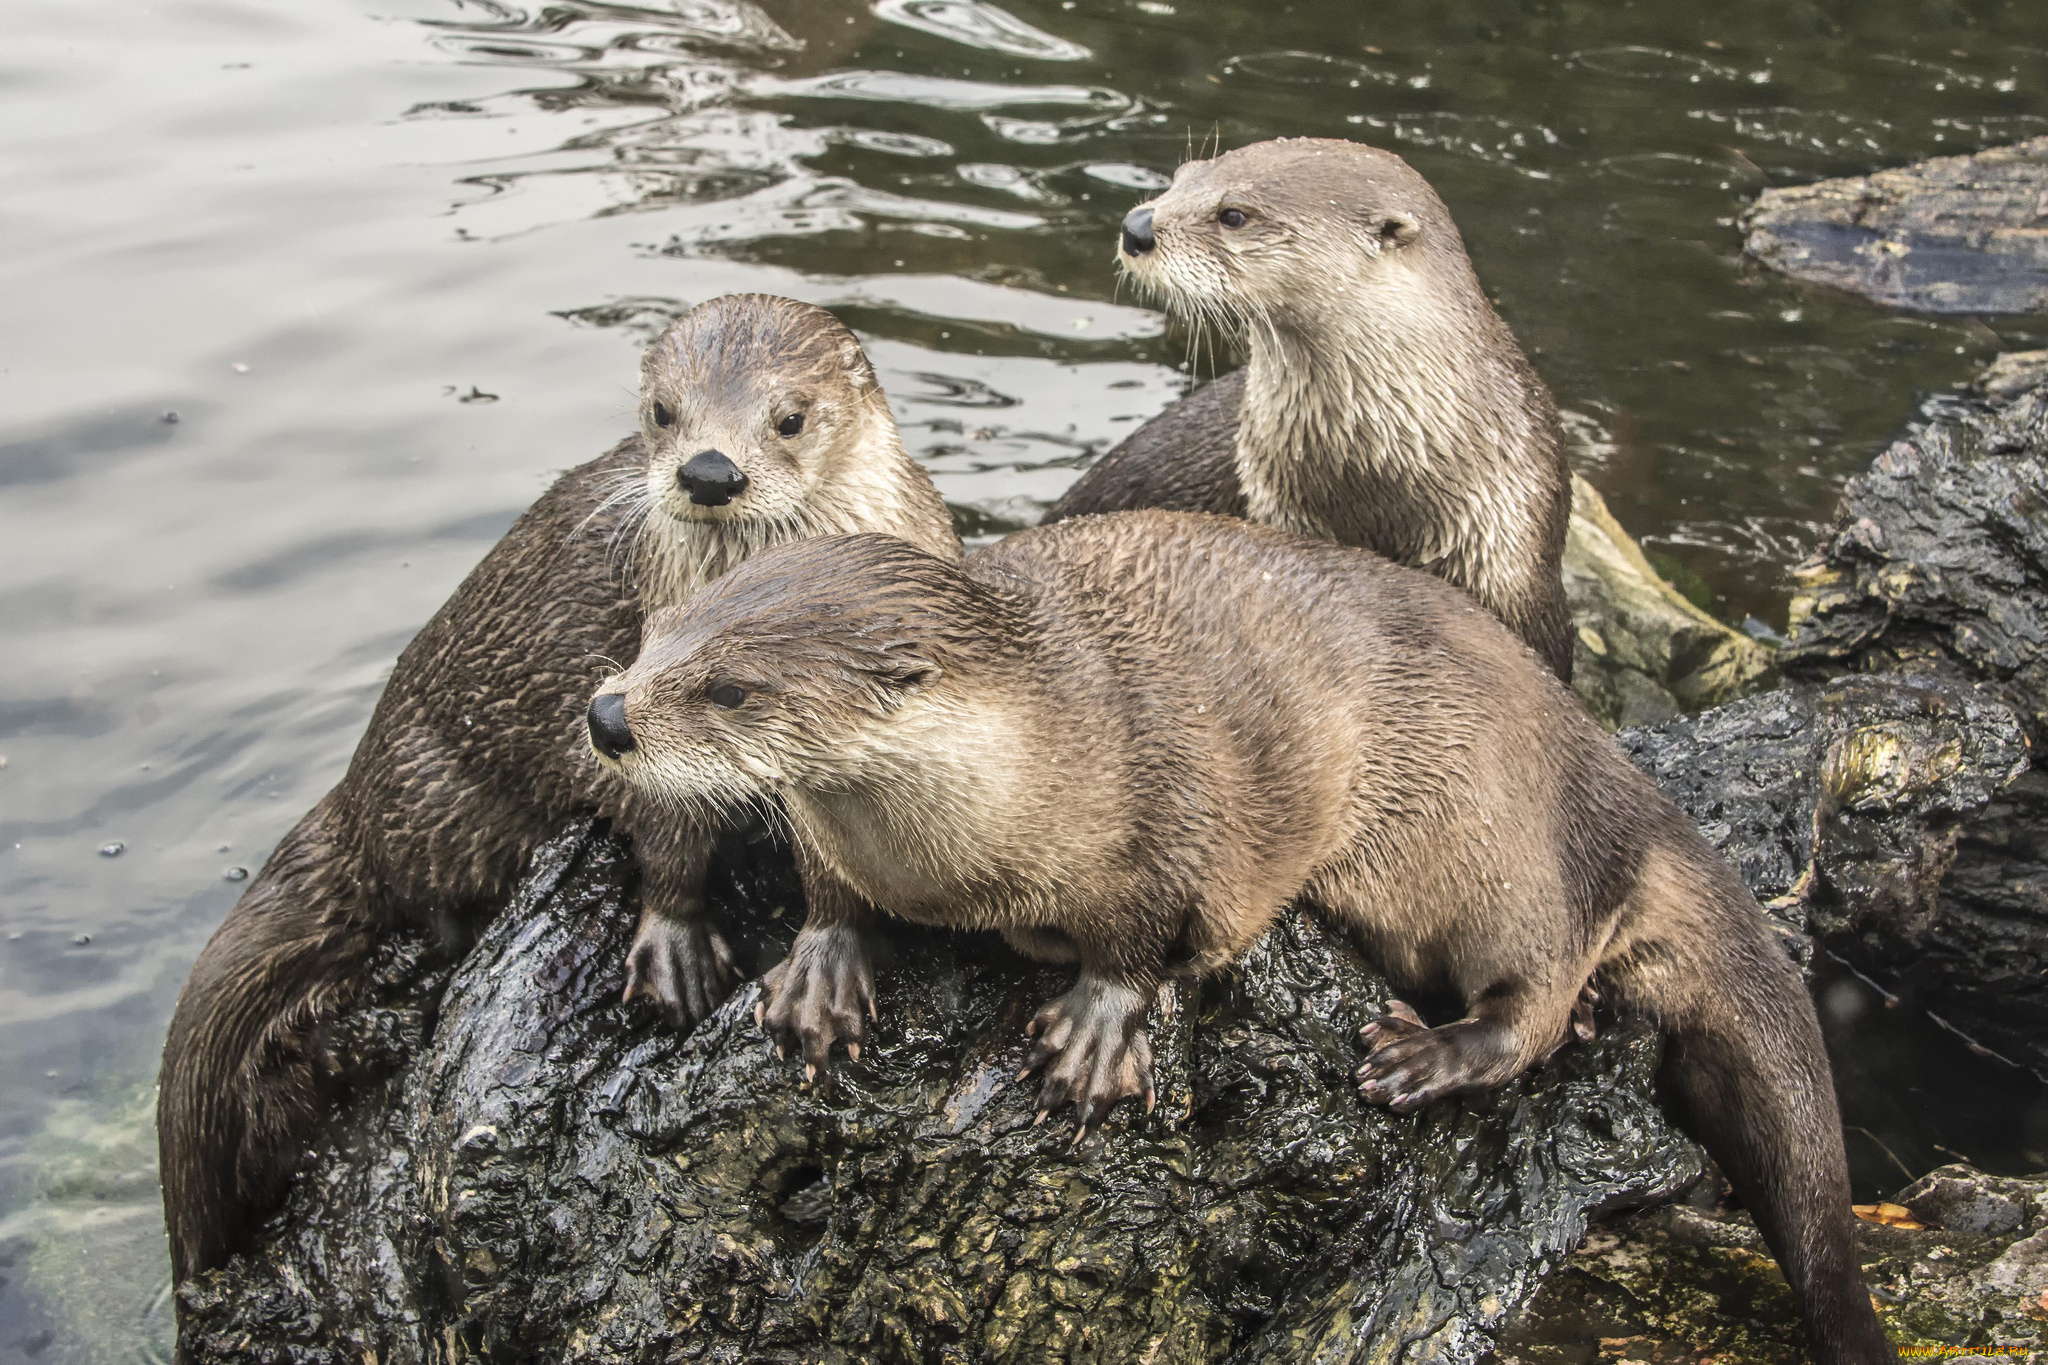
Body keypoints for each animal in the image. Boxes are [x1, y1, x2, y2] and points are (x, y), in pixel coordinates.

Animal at [159, 296, 958, 1293]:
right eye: (662, 411)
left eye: (790, 417)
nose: (709, 469)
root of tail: (356, 786)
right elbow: (663, 826)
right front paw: (676, 944)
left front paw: (822, 964)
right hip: (439, 795)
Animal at [598, 515, 1900, 1365]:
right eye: (656, 633)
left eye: (730, 690)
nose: (609, 714)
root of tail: (1624, 789)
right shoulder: (841, 838)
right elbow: (830, 893)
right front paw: (819, 970)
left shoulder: (1169, 821)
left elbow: (1138, 936)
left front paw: (1097, 1030)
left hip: (1511, 849)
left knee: (1532, 999)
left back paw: (1432, 1054)